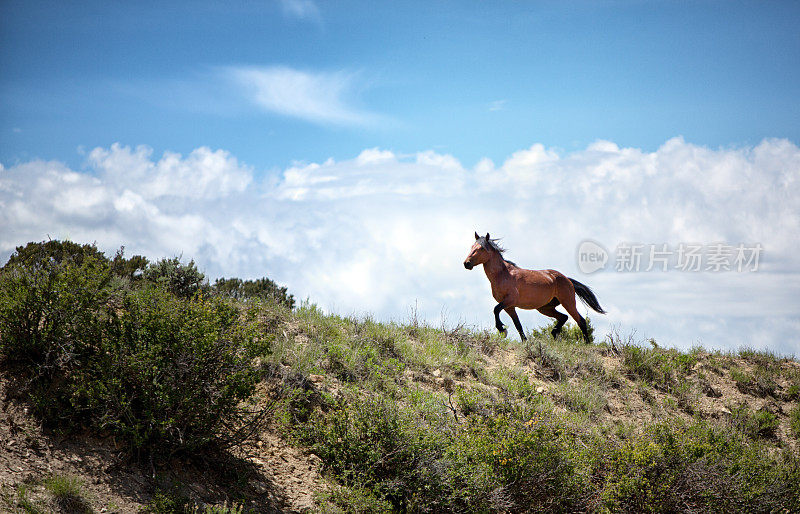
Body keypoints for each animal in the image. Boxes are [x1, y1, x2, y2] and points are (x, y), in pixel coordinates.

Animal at [462, 231, 608, 342]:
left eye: (481, 248)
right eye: (471, 246)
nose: (466, 263)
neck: (503, 275)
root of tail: (567, 279)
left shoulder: (510, 301)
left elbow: (496, 309)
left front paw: (502, 329)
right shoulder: (510, 307)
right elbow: (517, 324)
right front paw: (523, 341)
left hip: (568, 302)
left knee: (580, 321)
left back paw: (586, 343)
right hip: (545, 308)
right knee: (563, 317)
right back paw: (554, 333)